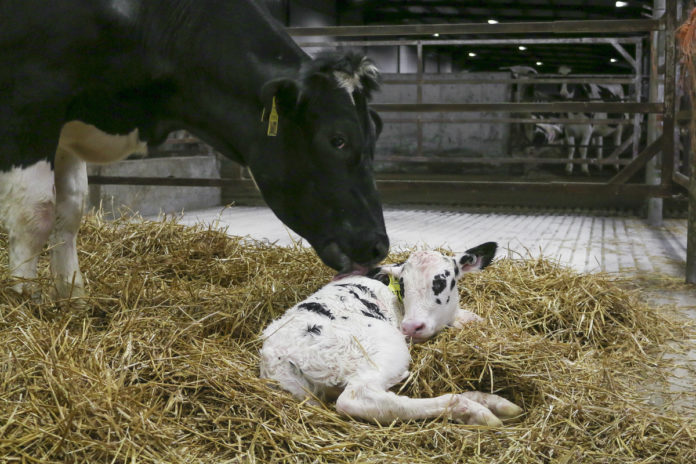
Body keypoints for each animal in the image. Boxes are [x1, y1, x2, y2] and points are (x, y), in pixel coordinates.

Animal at [0, 0, 386, 298]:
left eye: (374, 132)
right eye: (338, 139)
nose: (379, 245)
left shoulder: (68, 125)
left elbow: (69, 213)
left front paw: (73, 302)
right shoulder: (31, 104)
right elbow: (36, 214)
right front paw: (26, 306)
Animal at [260, 241, 520, 426]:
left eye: (441, 282)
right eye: (403, 285)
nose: (411, 326)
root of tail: (279, 356)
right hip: (382, 349)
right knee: (360, 398)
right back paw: (474, 410)